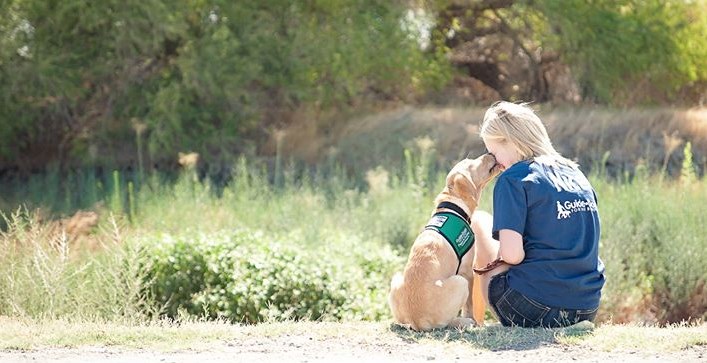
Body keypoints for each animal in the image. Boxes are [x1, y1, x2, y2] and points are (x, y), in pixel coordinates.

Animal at [390, 154, 500, 332]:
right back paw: (464, 322)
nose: (490, 154)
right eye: (473, 163)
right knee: (447, 322)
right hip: (460, 282)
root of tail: (417, 321)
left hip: (396, 279)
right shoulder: (467, 271)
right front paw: (472, 319)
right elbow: (469, 304)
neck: (453, 206)